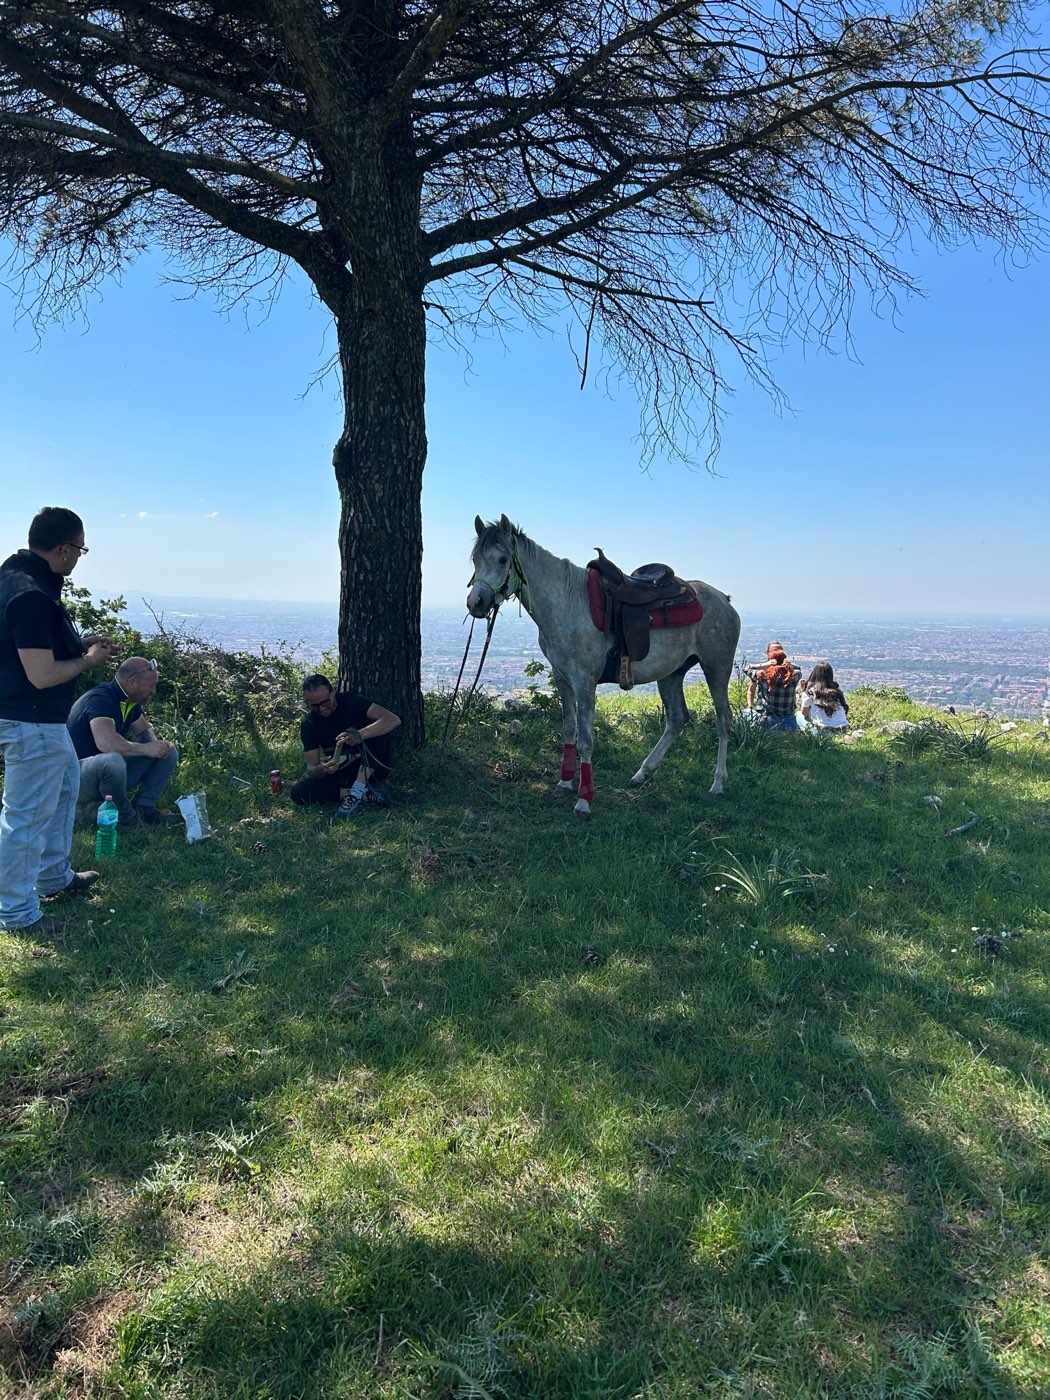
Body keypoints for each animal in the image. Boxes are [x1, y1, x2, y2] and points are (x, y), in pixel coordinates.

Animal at [467, 515, 741, 817]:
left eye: (503, 559)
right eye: (475, 559)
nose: (476, 602)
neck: (567, 603)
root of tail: (723, 599)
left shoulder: (584, 681)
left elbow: (585, 739)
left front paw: (584, 799)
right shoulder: (563, 679)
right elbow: (569, 728)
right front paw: (564, 783)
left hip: (717, 668)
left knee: (723, 720)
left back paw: (718, 783)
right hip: (671, 674)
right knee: (677, 718)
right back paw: (643, 773)